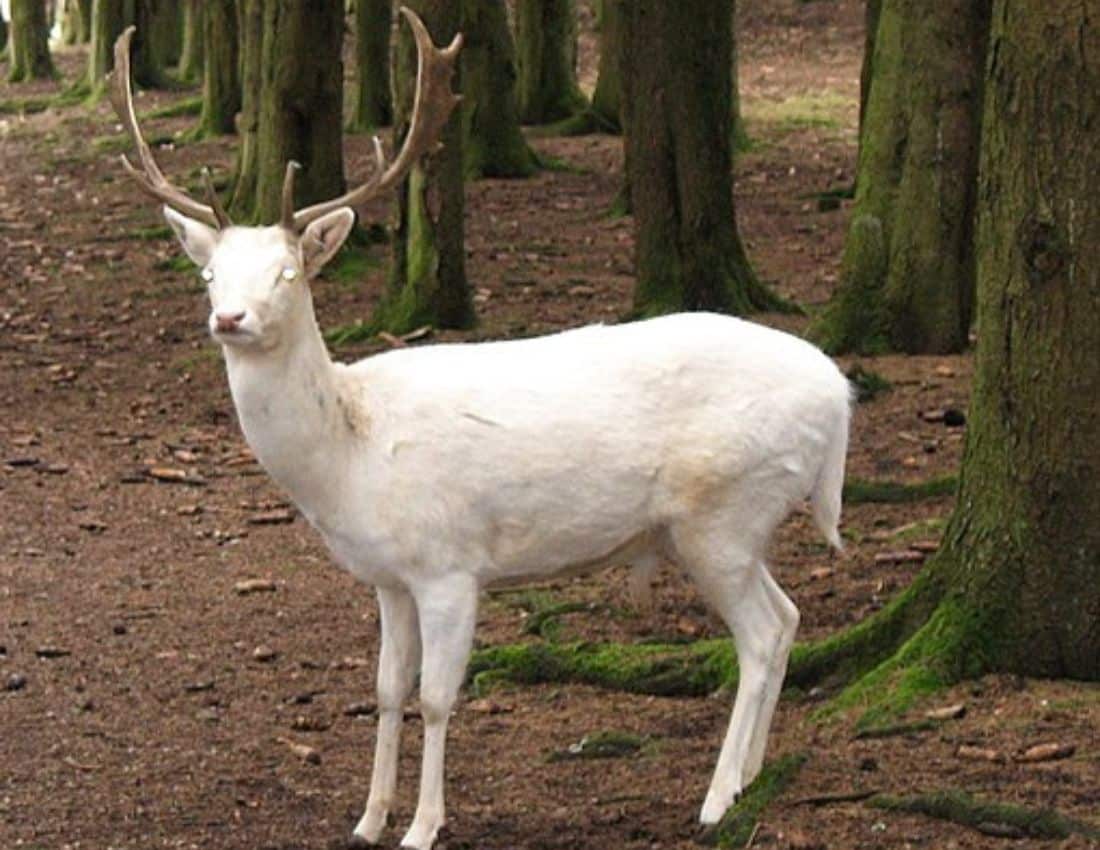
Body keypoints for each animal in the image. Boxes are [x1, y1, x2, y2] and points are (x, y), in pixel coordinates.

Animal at [107, 10, 851, 849]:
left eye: (289, 273)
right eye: (210, 273)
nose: (229, 318)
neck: (350, 457)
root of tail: (841, 396)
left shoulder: (450, 565)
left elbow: (436, 697)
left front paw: (423, 826)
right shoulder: (388, 577)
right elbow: (386, 688)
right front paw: (367, 818)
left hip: (721, 512)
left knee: (758, 635)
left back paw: (717, 799)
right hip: (738, 524)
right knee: (787, 618)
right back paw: (751, 774)